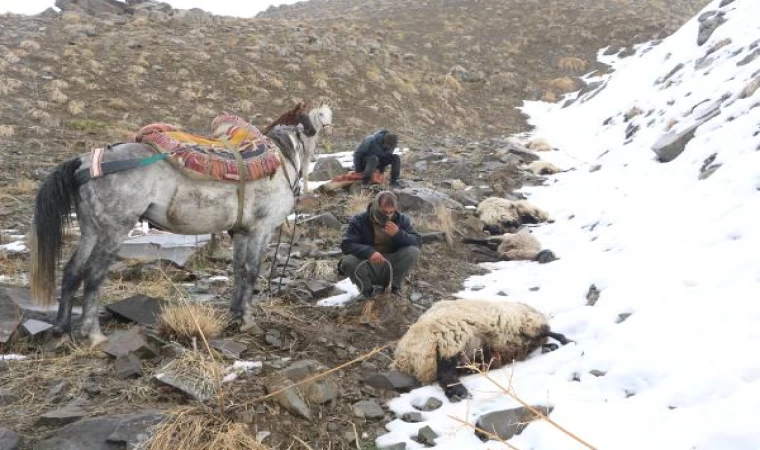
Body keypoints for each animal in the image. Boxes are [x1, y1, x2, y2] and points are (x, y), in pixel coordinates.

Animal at [30, 103, 332, 342]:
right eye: (320, 117)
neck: (281, 160)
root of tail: (85, 162)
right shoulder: (261, 230)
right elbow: (250, 272)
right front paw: (247, 321)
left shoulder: (241, 233)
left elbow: (237, 271)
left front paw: (234, 315)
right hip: (113, 230)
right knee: (93, 274)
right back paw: (93, 334)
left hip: (91, 230)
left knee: (72, 271)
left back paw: (61, 328)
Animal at [392, 300, 568, 400]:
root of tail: (405, 357)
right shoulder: (528, 324)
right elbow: (548, 332)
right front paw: (565, 341)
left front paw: (553, 345)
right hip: (451, 339)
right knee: (444, 373)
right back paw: (460, 392)